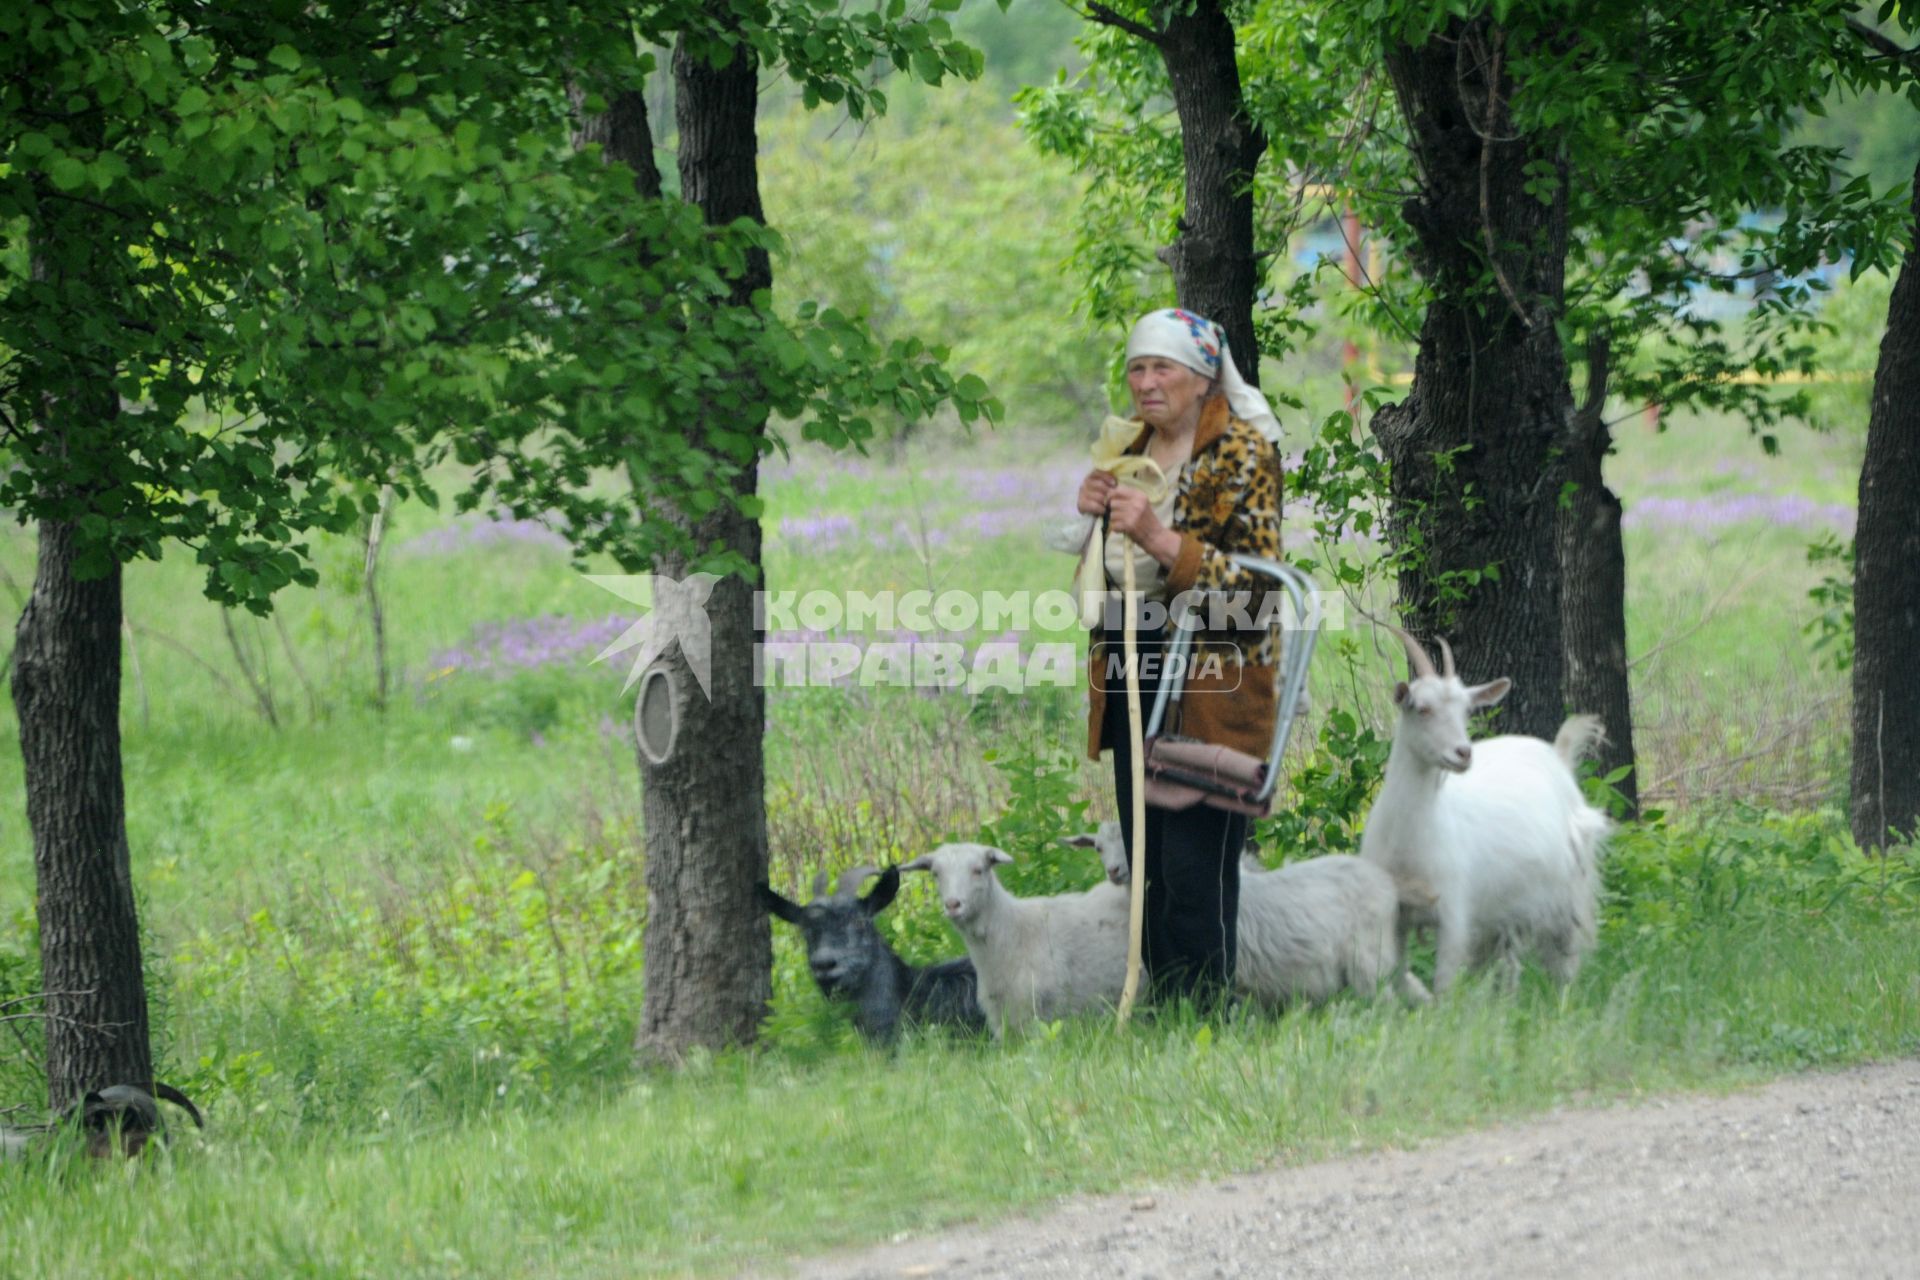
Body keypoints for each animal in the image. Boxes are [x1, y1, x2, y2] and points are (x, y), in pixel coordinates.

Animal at [1067, 821, 1428, 1013]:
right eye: (1098, 847)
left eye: (1132, 842)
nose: (1114, 872)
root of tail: (1388, 884)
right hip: (1385, 954)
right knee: (1408, 985)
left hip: (1366, 959)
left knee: (1384, 999)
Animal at [1359, 625, 1612, 997]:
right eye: (1421, 708)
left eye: (1467, 711)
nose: (1463, 753)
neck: (1410, 838)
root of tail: (1557, 756)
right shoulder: (1396, 915)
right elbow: (1399, 977)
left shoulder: (1454, 916)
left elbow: (1444, 984)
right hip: (1503, 912)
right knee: (1509, 965)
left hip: (1566, 896)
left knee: (1563, 961)